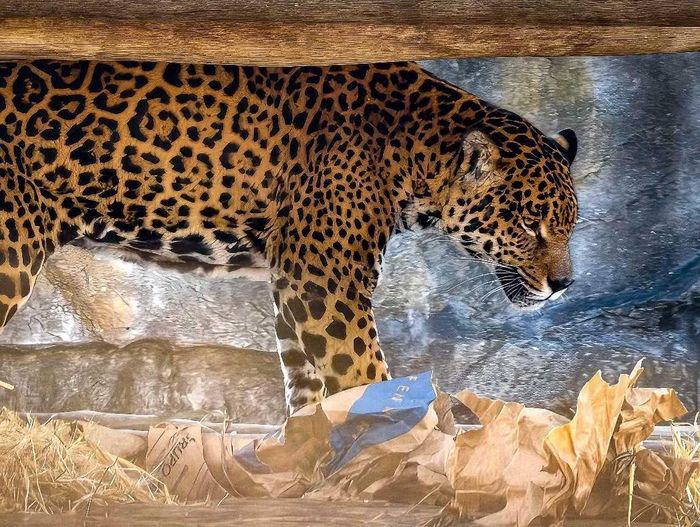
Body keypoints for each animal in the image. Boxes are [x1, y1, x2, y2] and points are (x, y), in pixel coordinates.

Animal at [0, 60, 578, 413]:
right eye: (529, 223)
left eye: (570, 225)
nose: (564, 284)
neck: (411, 152)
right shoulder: (327, 283)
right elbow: (365, 376)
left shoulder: (293, 281)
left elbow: (307, 388)